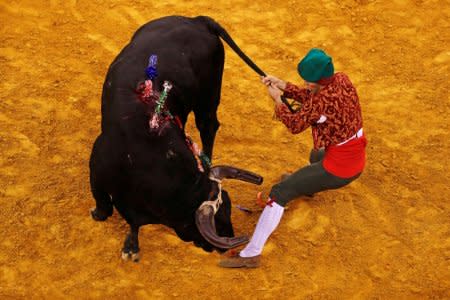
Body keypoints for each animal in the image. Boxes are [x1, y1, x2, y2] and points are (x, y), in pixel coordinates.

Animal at [89, 15, 266, 260]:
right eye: (218, 221)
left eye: (228, 212)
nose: (226, 246)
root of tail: (197, 21)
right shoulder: (97, 167)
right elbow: (106, 206)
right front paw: (106, 222)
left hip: (209, 95)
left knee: (208, 125)